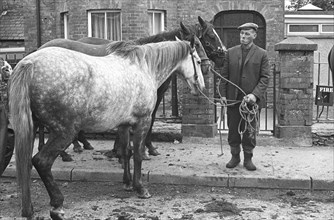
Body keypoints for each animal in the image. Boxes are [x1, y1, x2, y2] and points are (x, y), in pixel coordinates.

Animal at [9, 38, 205, 218]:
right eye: (198, 61)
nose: (201, 87)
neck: (143, 67)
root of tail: (30, 63)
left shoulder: (124, 125)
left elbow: (126, 152)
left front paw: (127, 183)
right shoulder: (142, 122)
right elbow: (138, 155)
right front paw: (140, 188)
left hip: (32, 128)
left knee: (27, 164)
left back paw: (29, 209)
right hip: (64, 132)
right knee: (41, 162)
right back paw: (57, 204)